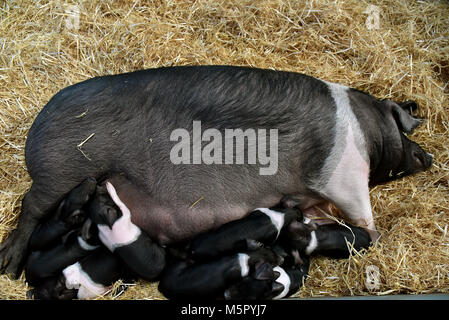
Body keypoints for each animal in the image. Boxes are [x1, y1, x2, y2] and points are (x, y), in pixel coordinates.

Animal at [0, 65, 434, 278]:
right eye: (403, 132)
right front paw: (368, 234)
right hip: (62, 168)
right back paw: (8, 267)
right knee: (30, 207)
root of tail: (38, 124)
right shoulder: (342, 174)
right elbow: (365, 217)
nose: (428, 156)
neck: (366, 131)